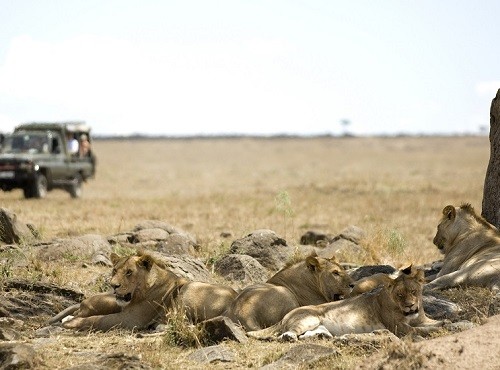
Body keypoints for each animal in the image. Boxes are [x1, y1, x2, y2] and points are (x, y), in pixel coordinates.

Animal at [56, 250, 238, 330]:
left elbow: (98, 319)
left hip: (189, 290)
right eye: (114, 270)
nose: (113, 285)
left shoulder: (131, 319)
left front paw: (72, 322)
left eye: (129, 272)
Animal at [248, 266, 444, 342]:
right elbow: (417, 330)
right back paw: (289, 336)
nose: (410, 305)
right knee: (287, 333)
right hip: (309, 318)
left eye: (414, 292)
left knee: (307, 335)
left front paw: (444, 323)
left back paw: (323, 337)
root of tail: (285, 316)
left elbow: (432, 323)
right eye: (400, 294)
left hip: (317, 325)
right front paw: (436, 329)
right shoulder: (397, 327)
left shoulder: (421, 318)